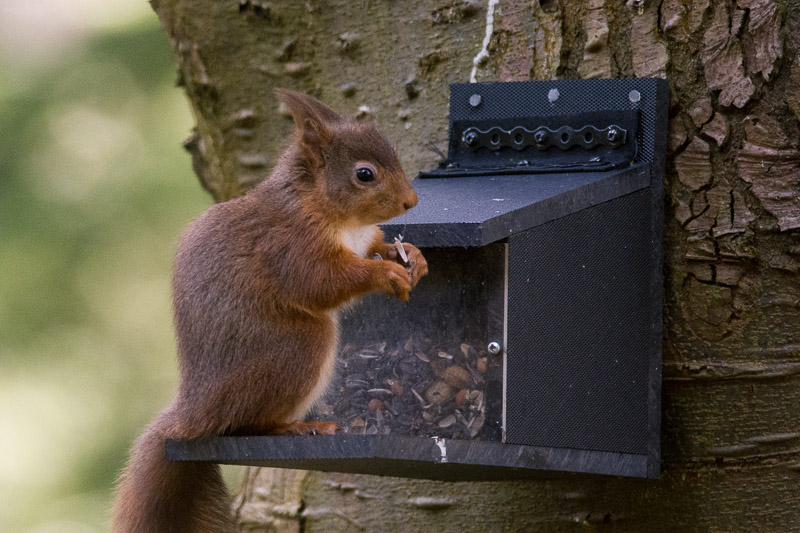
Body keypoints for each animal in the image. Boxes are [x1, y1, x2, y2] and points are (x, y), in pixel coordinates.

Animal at [111, 89, 432, 528]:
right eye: (364, 174)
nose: (410, 201)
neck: (338, 216)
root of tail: (194, 414)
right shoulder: (289, 246)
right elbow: (319, 283)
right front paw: (384, 273)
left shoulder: (360, 239)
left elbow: (376, 246)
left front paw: (412, 256)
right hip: (298, 347)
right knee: (245, 425)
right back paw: (296, 428)